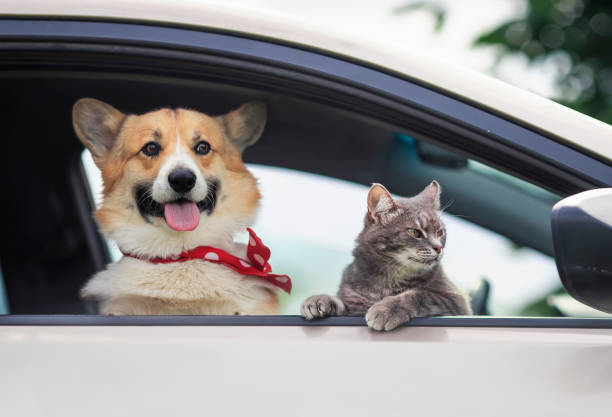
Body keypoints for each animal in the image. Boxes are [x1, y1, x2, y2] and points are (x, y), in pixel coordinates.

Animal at [304, 180, 470, 330]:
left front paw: (387, 310)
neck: (388, 278)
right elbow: (342, 303)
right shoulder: (352, 302)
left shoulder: (456, 300)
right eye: (415, 232)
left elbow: (420, 294)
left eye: (440, 232)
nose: (439, 247)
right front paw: (320, 300)